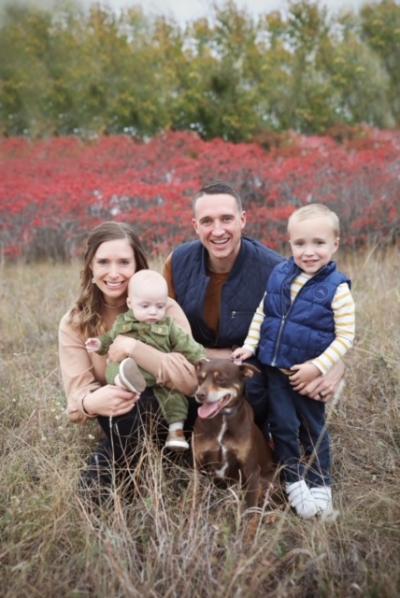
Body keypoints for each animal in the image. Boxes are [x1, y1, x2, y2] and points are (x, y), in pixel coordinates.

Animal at [191, 358, 276, 512]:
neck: (223, 418)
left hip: (268, 482)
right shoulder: (199, 465)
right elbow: (195, 496)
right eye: (200, 378)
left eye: (221, 379)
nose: (199, 395)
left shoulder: (251, 471)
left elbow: (250, 509)